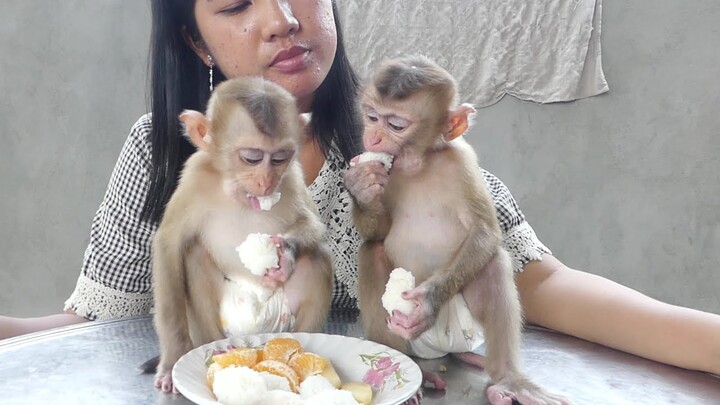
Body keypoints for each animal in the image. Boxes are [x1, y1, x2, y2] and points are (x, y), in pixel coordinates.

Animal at [153, 76, 334, 392]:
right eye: (251, 158)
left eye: (279, 158)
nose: (266, 181)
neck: (236, 191)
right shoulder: (194, 177)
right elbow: (169, 246)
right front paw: (172, 360)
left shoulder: (293, 176)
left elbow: (312, 226)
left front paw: (285, 255)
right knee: (194, 254)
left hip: (283, 317)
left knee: (317, 259)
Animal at [346, 54, 572, 404]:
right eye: (371, 117)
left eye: (395, 124)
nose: (373, 138)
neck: (419, 163)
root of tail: (439, 349)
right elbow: (378, 233)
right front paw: (362, 187)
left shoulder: (462, 163)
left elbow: (483, 232)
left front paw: (427, 302)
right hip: (408, 337)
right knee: (372, 252)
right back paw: (408, 368)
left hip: (464, 330)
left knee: (492, 263)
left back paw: (508, 379)